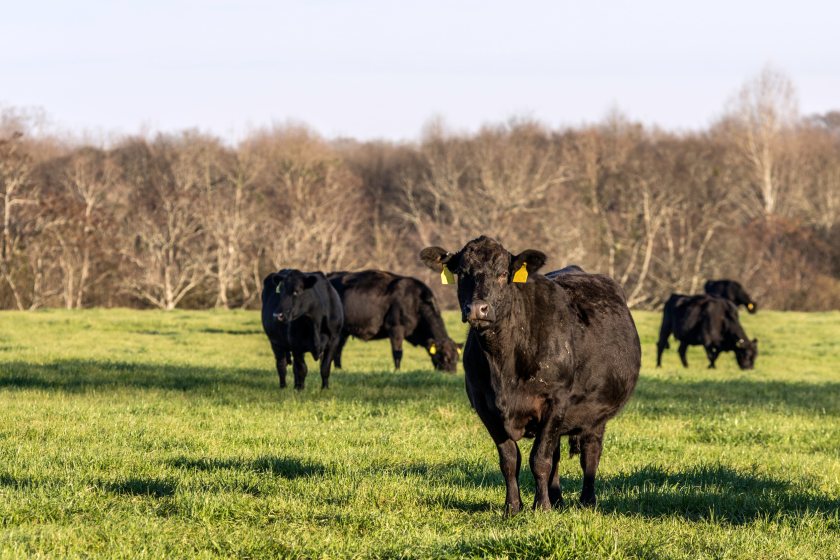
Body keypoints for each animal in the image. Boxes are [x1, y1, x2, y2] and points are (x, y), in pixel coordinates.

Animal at [327, 270, 461, 373]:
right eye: (444, 356)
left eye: (458, 358)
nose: (452, 373)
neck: (416, 302)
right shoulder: (396, 328)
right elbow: (397, 353)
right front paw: (397, 371)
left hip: (344, 331)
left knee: (338, 350)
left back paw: (339, 369)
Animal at [420, 236, 640, 514]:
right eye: (461, 273)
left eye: (503, 274)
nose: (478, 309)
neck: (502, 366)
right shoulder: (485, 407)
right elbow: (510, 460)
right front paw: (513, 507)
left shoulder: (555, 402)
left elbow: (539, 459)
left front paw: (541, 507)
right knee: (557, 454)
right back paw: (558, 499)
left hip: (597, 413)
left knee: (590, 453)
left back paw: (587, 501)